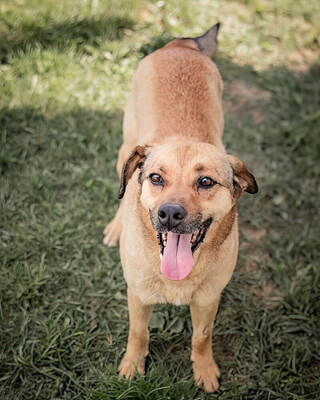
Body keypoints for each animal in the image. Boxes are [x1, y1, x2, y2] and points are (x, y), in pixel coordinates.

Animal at [103, 23, 258, 392]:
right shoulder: (138, 296)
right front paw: (132, 366)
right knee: (121, 184)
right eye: (156, 178)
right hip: (126, 145)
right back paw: (116, 226)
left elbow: (201, 337)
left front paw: (204, 370)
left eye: (206, 182)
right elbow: (138, 333)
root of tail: (181, 46)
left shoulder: (208, 300)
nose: (170, 214)